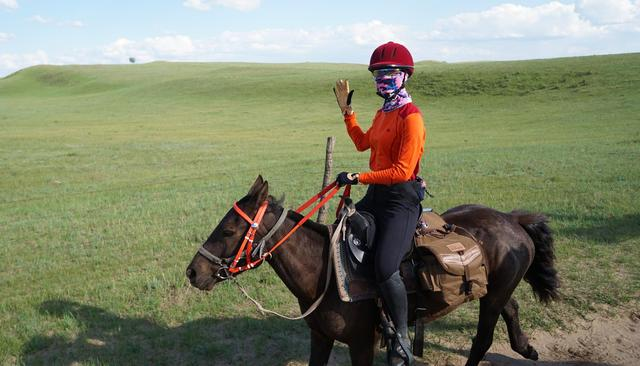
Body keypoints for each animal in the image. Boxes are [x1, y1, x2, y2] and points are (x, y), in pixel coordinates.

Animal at [186, 176, 560, 364]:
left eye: (228, 231)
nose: (193, 272)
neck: (326, 274)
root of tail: (511, 219)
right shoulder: (320, 337)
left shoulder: (361, 345)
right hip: (496, 291)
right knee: (512, 307)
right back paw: (526, 348)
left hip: (493, 296)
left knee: (482, 340)